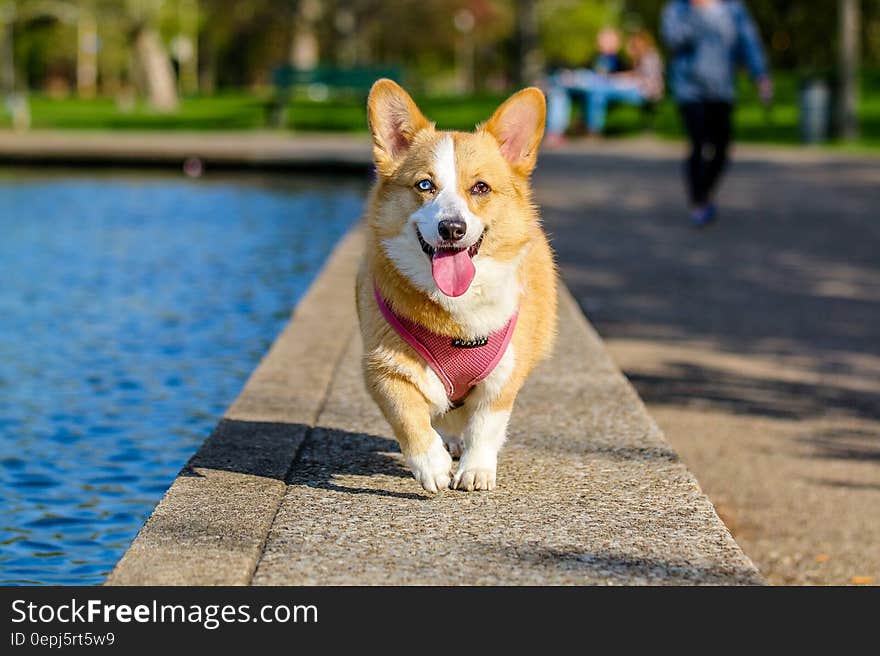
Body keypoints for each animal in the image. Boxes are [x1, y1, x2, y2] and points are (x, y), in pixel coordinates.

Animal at [356, 80, 556, 492]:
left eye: (480, 188)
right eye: (425, 185)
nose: (452, 229)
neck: (455, 312)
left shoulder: (503, 376)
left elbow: (485, 425)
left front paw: (476, 470)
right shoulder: (383, 369)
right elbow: (409, 418)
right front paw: (431, 466)